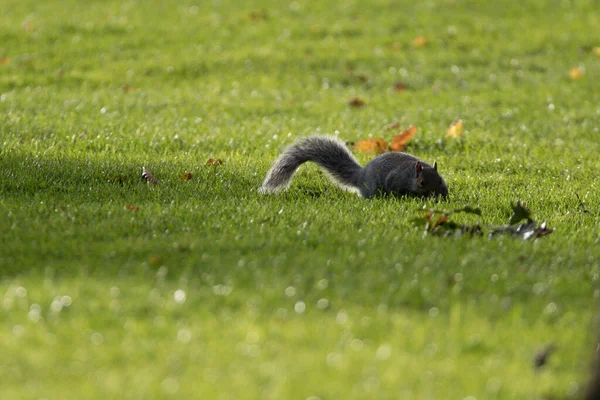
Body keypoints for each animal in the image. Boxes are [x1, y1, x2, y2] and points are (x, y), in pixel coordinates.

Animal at [260, 136, 448, 198]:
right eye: (422, 183)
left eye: (440, 181)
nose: (435, 195)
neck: (410, 175)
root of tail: (361, 175)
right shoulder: (397, 180)